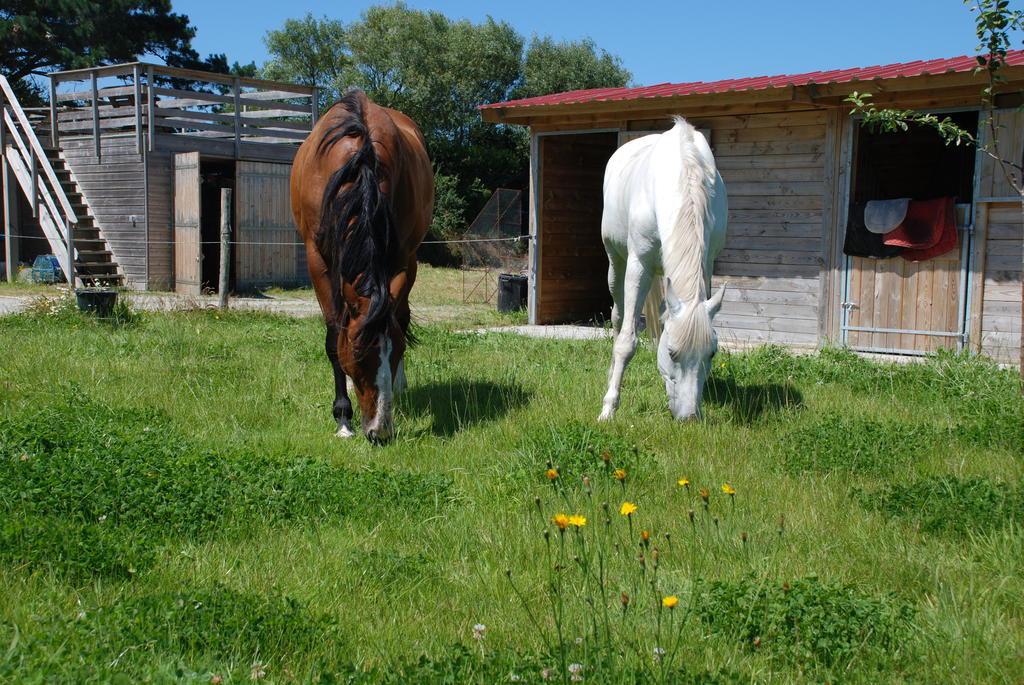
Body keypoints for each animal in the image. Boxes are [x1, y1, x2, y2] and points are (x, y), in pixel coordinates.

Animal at [292, 90, 432, 440]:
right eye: (356, 354)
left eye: (396, 351)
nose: (379, 432)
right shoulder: (318, 261)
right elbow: (333, 337)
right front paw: (343, 417)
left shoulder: (399, 258)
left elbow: (398, 320)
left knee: (403, 314)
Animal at [598, 114, 729, 419]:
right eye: (672, 353)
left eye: (711, 353)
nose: (689, 417)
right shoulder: (639, 265)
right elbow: (626, 342)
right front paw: (609, 407)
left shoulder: (706, 263)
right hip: (616, 262)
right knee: (618, 317)